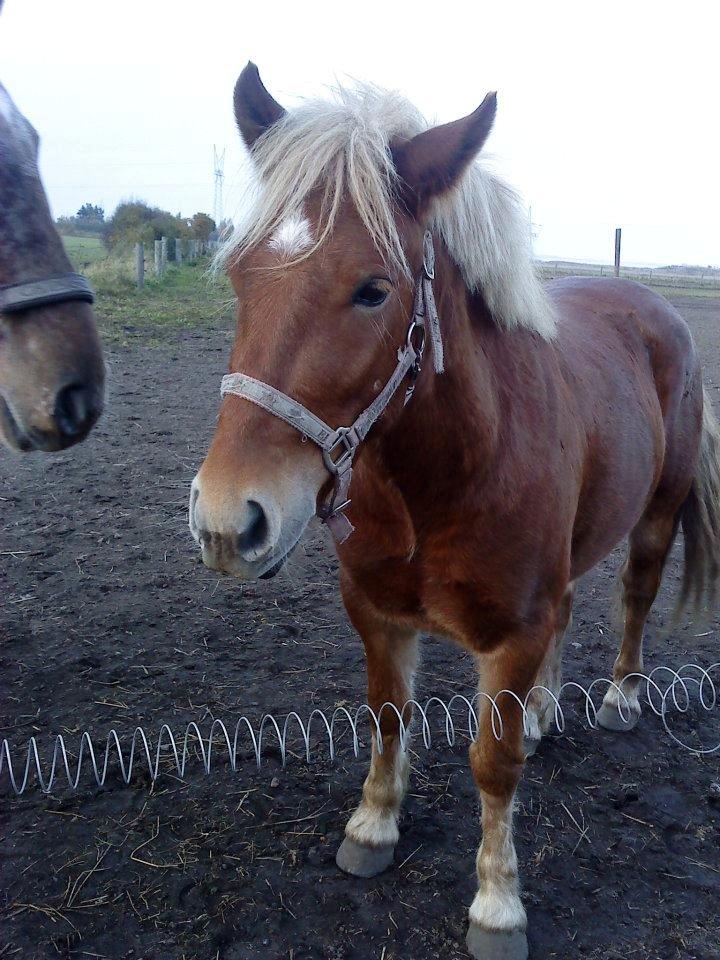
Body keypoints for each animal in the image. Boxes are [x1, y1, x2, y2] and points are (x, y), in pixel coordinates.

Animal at [191, 63, 720, 956]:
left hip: (656, 513)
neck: (443, 480)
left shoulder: (510, 636)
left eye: (374, 290)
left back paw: (619, 699)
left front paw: (497, 904)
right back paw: (545, 711)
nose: (229, 522)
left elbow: (491, 764)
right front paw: (372, 828)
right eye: (240, 277)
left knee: (634, 596)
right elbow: (388, 716)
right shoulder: (375, 612)